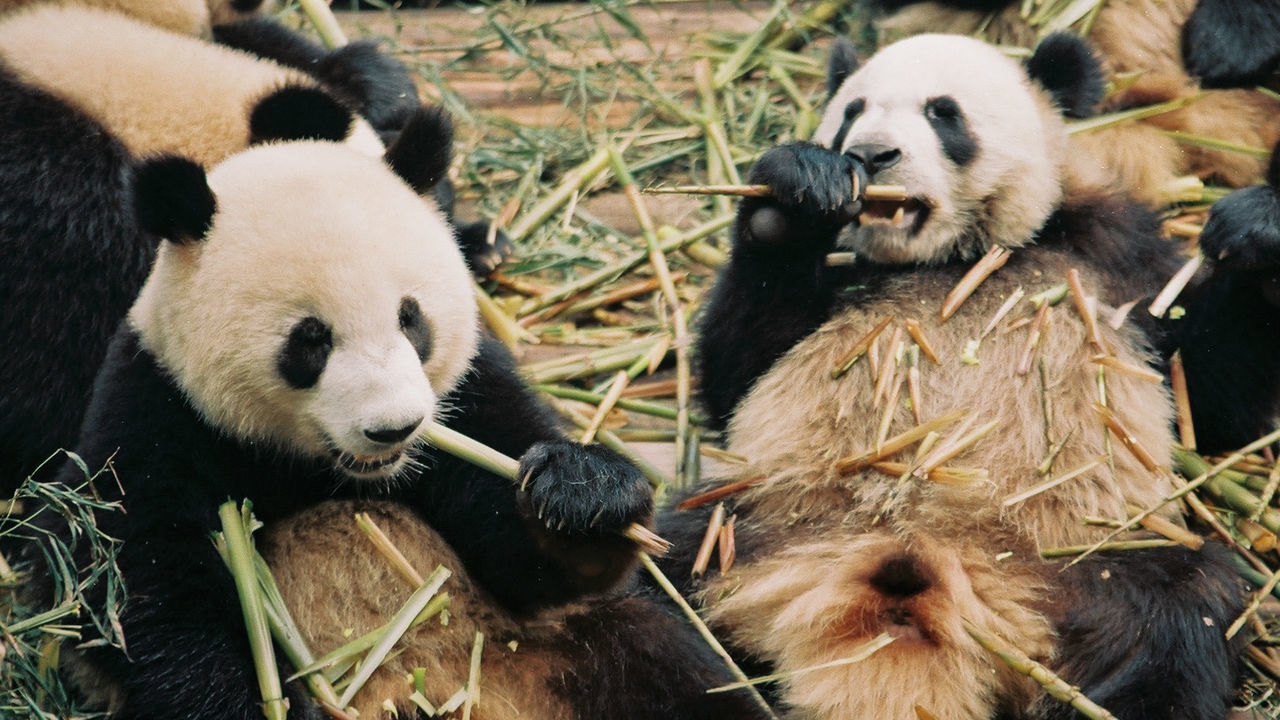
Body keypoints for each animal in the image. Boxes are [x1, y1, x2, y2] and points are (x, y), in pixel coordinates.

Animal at [27, 107, 768, 717]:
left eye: (411, 320)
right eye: (310, 341)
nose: (395, 427)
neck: (332, 472)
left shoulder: (470, 395)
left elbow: (525, 554)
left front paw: (583, 494)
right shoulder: (159, 413)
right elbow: (138, 590)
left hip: (574, 651)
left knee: (679, 681)